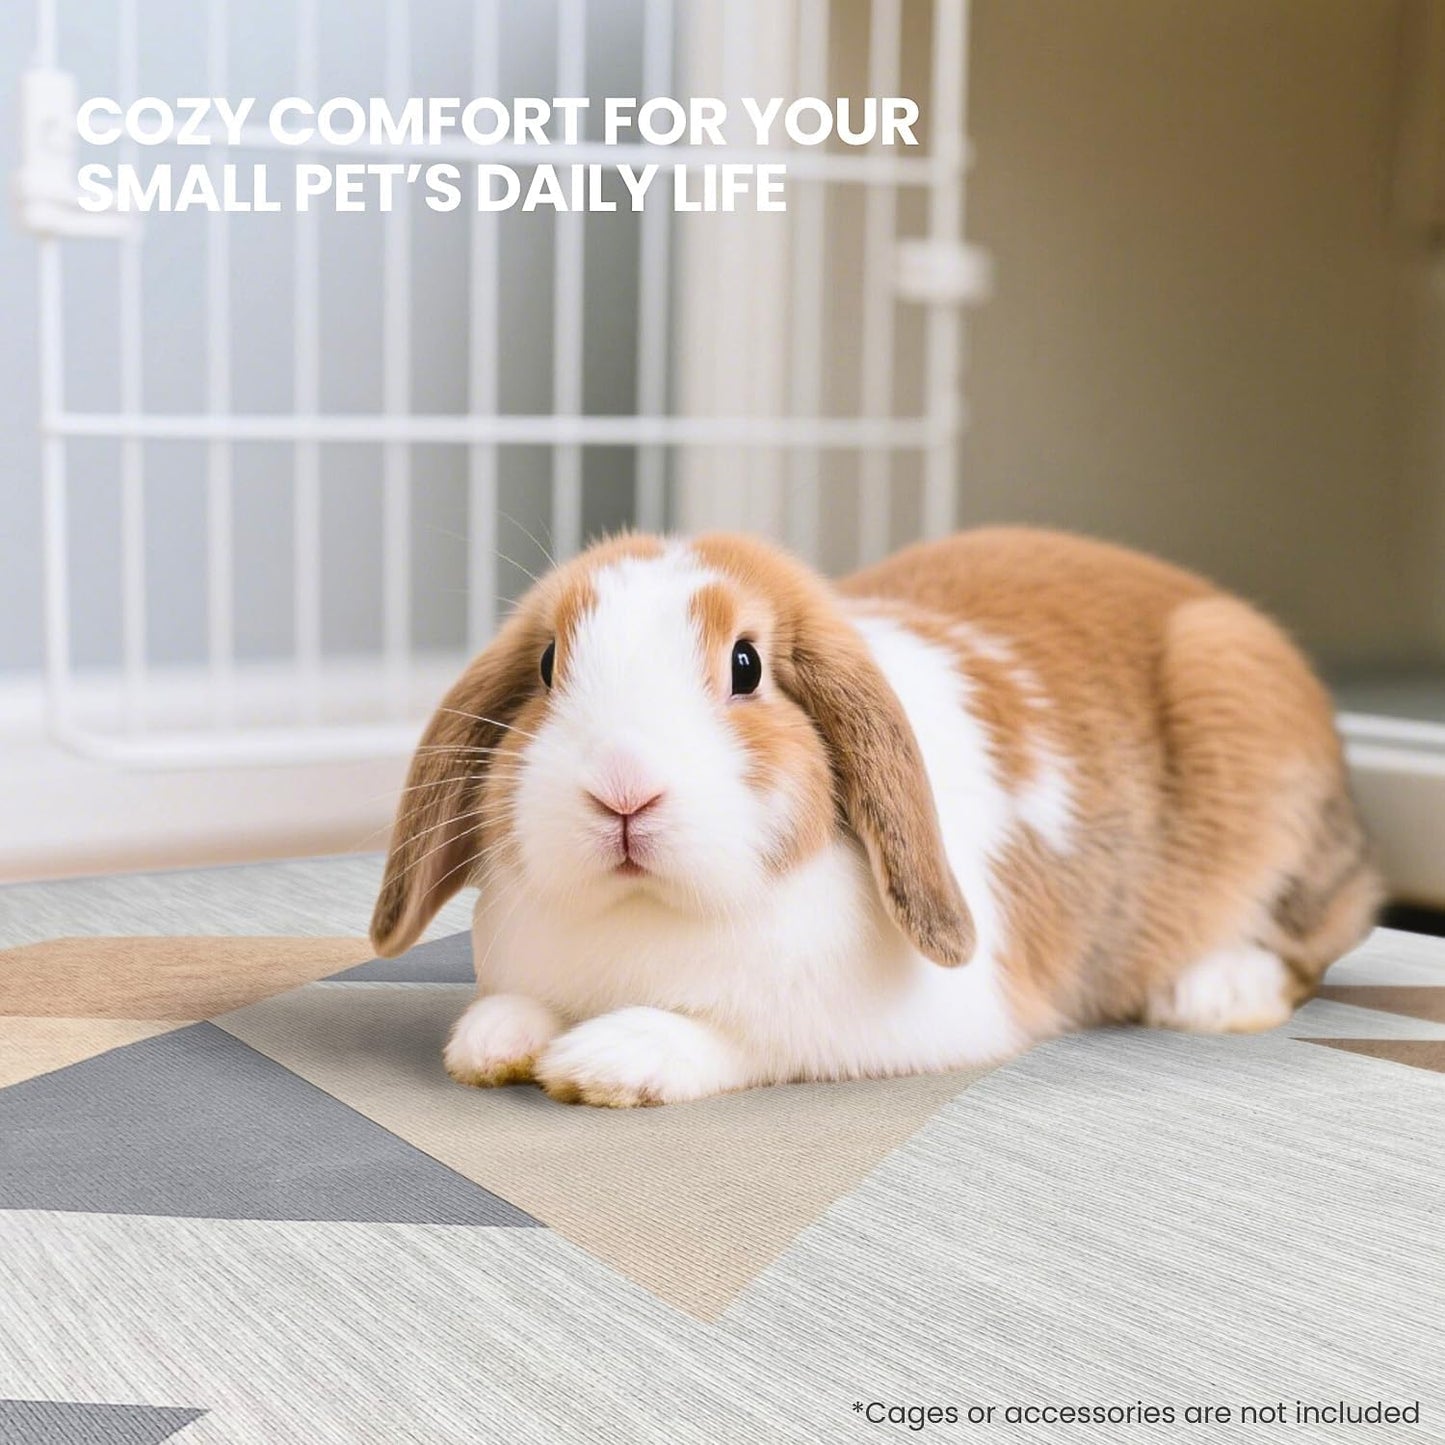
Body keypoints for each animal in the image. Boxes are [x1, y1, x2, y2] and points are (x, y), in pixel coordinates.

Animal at [370, 528, 1381, 1108]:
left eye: (746, 665)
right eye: (547, 665)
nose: (623, 787)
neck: (646, 915)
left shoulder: (874, 1023)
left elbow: (739, 1033)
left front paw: (604, 1059)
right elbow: (511, 1004)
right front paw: (495, 1043)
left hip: (1247, 730)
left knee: (1320, 933)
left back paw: (1213, 993)